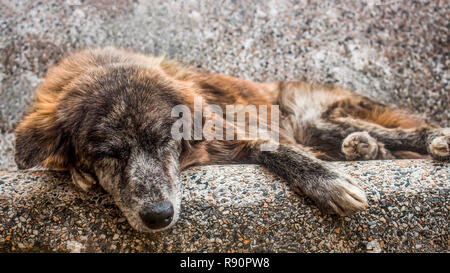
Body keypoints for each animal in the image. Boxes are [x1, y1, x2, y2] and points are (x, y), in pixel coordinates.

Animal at [14, 47, 450, 232]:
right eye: (106, 152)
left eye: (164, 141)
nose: (159, 216)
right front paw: (79, 174)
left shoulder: (237, 133)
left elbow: (278, 149)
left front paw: (330, 184)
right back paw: (364, 148)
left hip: (312, 118)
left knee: (404, 132)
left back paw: (431, 140)